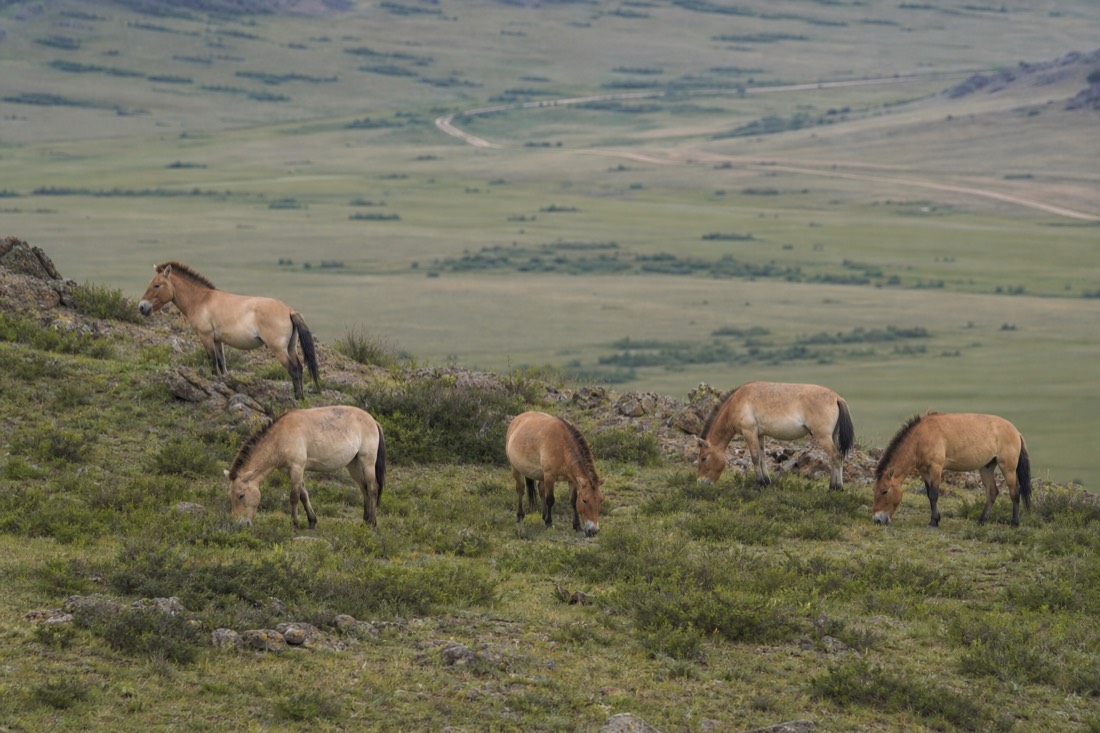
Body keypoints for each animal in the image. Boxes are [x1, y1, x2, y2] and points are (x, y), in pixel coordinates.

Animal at [138, 261, 319, 400]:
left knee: (293, 369)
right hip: (290, 347)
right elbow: (221, 362)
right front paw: (223, 382)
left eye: (156, 285)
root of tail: (289, 311)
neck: (201, 300)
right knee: (299, 368)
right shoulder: (218, 340)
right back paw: (302, 397)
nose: (142, 307)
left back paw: (297, 397)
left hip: (279, 349)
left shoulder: (206, 337)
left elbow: (212, 361)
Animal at [224, 406, 386, 529]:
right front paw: (312, 522)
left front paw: (294, 524)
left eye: (241, 495)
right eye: (230, 496)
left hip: (367, 461)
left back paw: (372, 523)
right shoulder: (292, 471)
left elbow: (294, 496)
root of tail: (373, 421)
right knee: (364, 488)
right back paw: (365, 521)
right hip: (353, 465)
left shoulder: (297, 467)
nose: (239, 524)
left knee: (372, 488)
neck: (279, 437)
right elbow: (303, 495)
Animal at [696, 381, 855, 489]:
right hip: (831, 436)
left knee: (836, 457)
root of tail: (837, 398)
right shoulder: (759, 435)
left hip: (823, 436)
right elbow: (762, 458)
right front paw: (766, 482)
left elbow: (755, 458)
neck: (736, 401)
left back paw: (836, 488)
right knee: (836, 458)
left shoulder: (749, 432)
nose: (700, 482)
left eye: (703, 458)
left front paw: (759, 483)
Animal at [872, 411, 1031, 527]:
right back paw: (981, 521)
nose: (877, 520)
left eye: (885, 491)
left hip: (1008, 467)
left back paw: (1014, 523)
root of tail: (1016, 432)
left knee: (1015, 493)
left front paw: (933, 522)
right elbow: (929, 494)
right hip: (986, 467)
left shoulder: (936, 468)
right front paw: (936, 518)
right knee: (992, 492)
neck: (921, 437)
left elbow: (934, 495)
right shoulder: (924, 472)